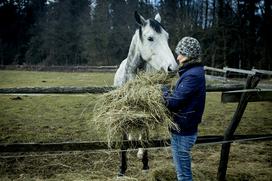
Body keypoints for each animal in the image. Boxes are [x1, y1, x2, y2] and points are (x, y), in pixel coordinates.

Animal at [113, 10, 177, 175]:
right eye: (150, 38)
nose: (173, 68)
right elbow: (124, 140)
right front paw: (122, 168)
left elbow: (145, 136)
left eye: (167, 37)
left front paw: (145, 164)